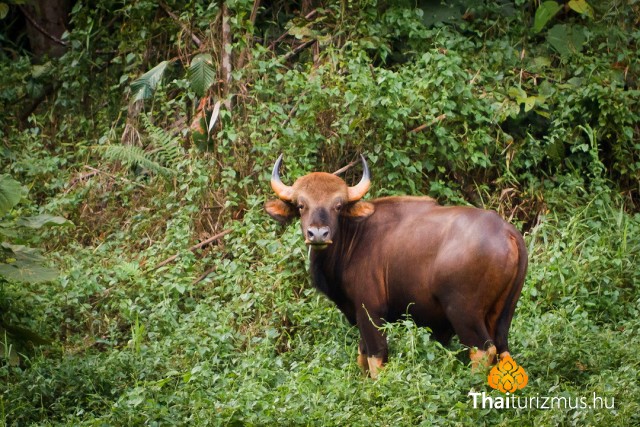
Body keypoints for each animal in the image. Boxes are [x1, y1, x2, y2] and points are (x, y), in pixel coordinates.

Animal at [265, 155, 527, 378]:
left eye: (337, 206)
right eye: (301, 205)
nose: (318, 233)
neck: (354, 237)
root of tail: (507, 232)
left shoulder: (370, 311)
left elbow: (376, 356)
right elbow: (362, 357)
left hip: (463, 312)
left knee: (483, 350)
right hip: (503, 314)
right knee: (502, 350)